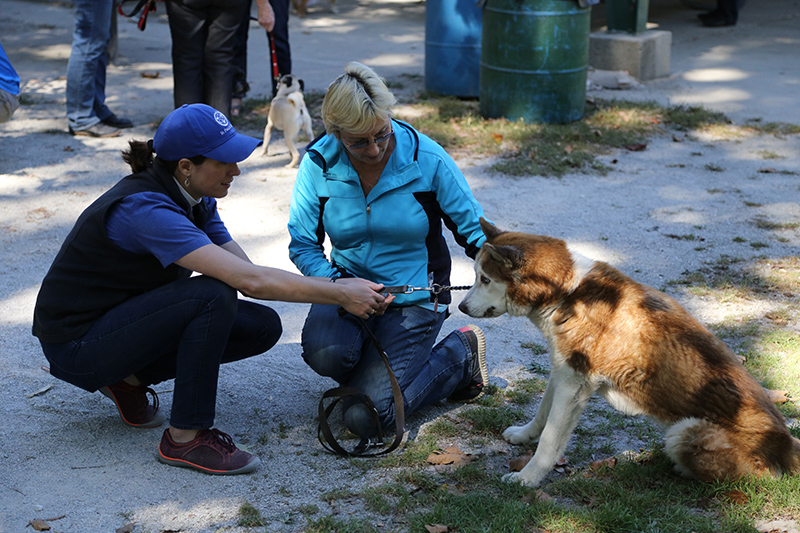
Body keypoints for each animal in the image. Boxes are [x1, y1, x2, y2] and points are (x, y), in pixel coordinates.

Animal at [456, 216, 800, 486]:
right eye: (476, 276)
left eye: (485, 279)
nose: (459, 307)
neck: (567, 291)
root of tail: (786, 446)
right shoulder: (563, 371)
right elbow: (542, 414)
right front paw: (524, 436)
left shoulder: (573, 385)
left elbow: (550, 442)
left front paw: (527, 478)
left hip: (684, 432)